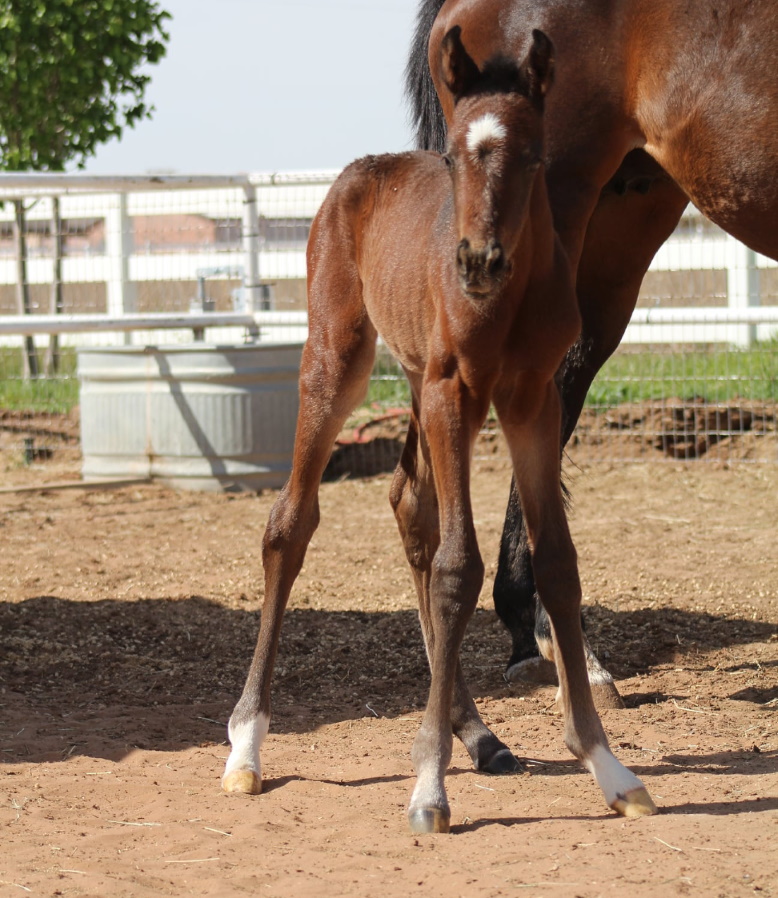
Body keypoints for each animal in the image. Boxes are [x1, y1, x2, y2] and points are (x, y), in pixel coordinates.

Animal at [221, 27, 656, 834]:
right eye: (454, 156)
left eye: (534, 155)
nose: (478, 261)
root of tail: (362, 169)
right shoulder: (453, 392)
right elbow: (461, 567)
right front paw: (428, 785)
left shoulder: (531, 401)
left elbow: (556, 563)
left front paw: (608, 768)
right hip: (340, 361)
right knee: (291, 523)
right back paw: (247, 747)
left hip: (421, 383)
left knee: (408, 506)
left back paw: (479, 733)